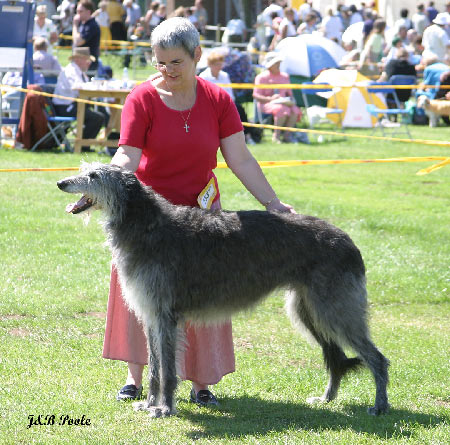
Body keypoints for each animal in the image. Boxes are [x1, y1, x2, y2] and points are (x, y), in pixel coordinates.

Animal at [56, 162, 388, 416]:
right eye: (84, 169)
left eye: (94, 175)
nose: (61, 182)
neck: (145, 223)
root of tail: (348, 240)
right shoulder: (150, 315)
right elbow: (153, 368)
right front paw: (149, 404)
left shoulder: (165, 316)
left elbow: (167, 369)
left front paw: (164, 408)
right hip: (306, 310)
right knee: (335, 357)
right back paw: (327, 399)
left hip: (334, 309)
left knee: (377, 358)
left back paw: (379, 406)